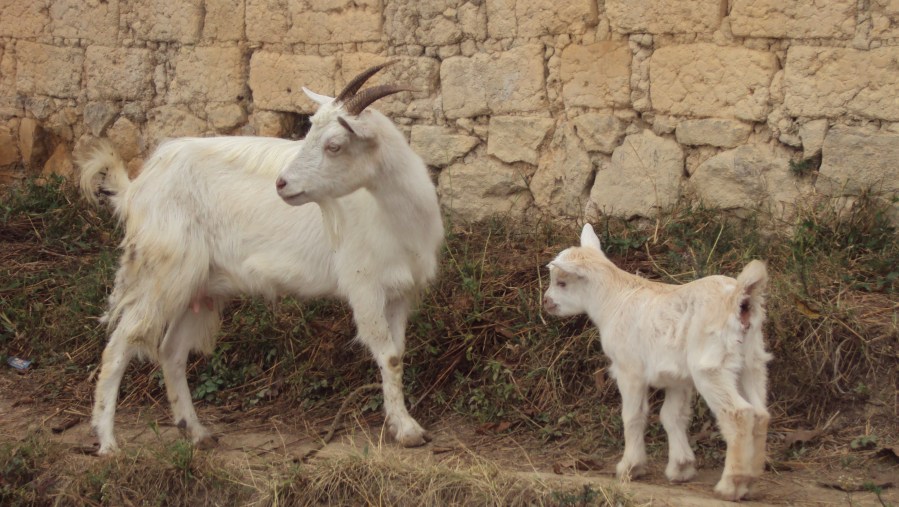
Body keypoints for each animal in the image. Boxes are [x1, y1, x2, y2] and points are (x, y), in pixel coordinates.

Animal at [77, 63, 444, 455]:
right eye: (308, 130)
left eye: (334, 145)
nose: (282, 184)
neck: (395, 214)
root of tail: (137, 188)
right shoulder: (364, 286)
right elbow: (387, 355)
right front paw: (407, 429)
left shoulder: (401, 291)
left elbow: (397, 355)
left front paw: (403, 425)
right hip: (162, 271)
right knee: (119, 346)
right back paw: (107, 442)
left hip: (199, 287)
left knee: (171, 351)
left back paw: (196, 431)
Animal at [542, 224, 772, 501]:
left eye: (562, 282)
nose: (546, 302)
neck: (613, 300)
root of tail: (739, 298)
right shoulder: (678, 378)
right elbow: (672, 416)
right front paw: (681, 468)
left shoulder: (629, 370)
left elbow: (633, 415)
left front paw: (630, 467)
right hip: (752, 362)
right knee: (760, 413)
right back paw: (750, 483)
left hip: (711, 366)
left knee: (739, 413)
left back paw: (732, 485)